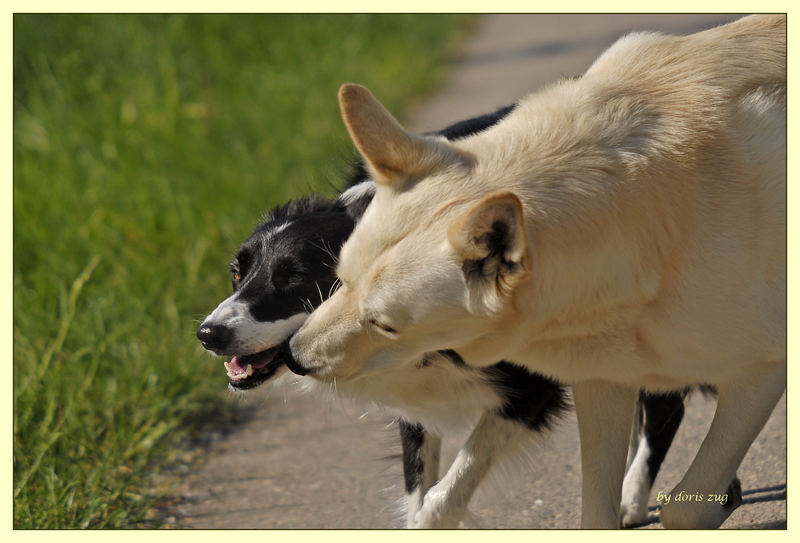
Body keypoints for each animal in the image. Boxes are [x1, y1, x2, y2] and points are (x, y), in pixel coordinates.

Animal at [195, 106, 736, 532]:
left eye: (294, 280)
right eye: (236, 273)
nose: (207, 333)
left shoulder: (531, 387)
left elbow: (446, 492)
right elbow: (420, 488)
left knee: (667, 405)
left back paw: (633, 499)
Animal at [286, 14, 780, 528]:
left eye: (384, 325)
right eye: (340, 280)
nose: (294, 357)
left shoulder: (760, 372)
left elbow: (686, 506)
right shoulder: (605, 379)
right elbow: (594, 511)